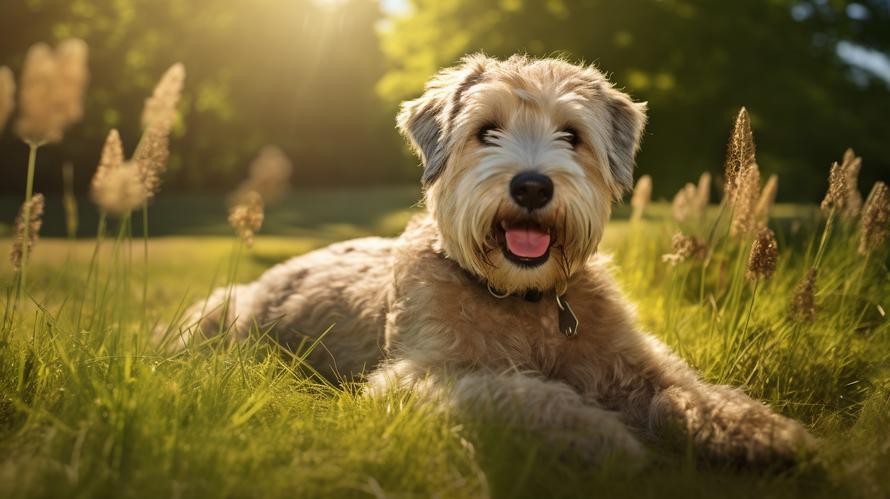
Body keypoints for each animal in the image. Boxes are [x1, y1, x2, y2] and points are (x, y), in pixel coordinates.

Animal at [184, 53, 816, 464]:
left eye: (571, 134)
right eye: (486, 130)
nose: (532, 186)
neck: (527, 303)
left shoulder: (634, 358)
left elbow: (685, 389)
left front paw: (761, 429)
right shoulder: (419, 377)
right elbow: (517, 392)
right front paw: (599, 433)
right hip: (210, 314)